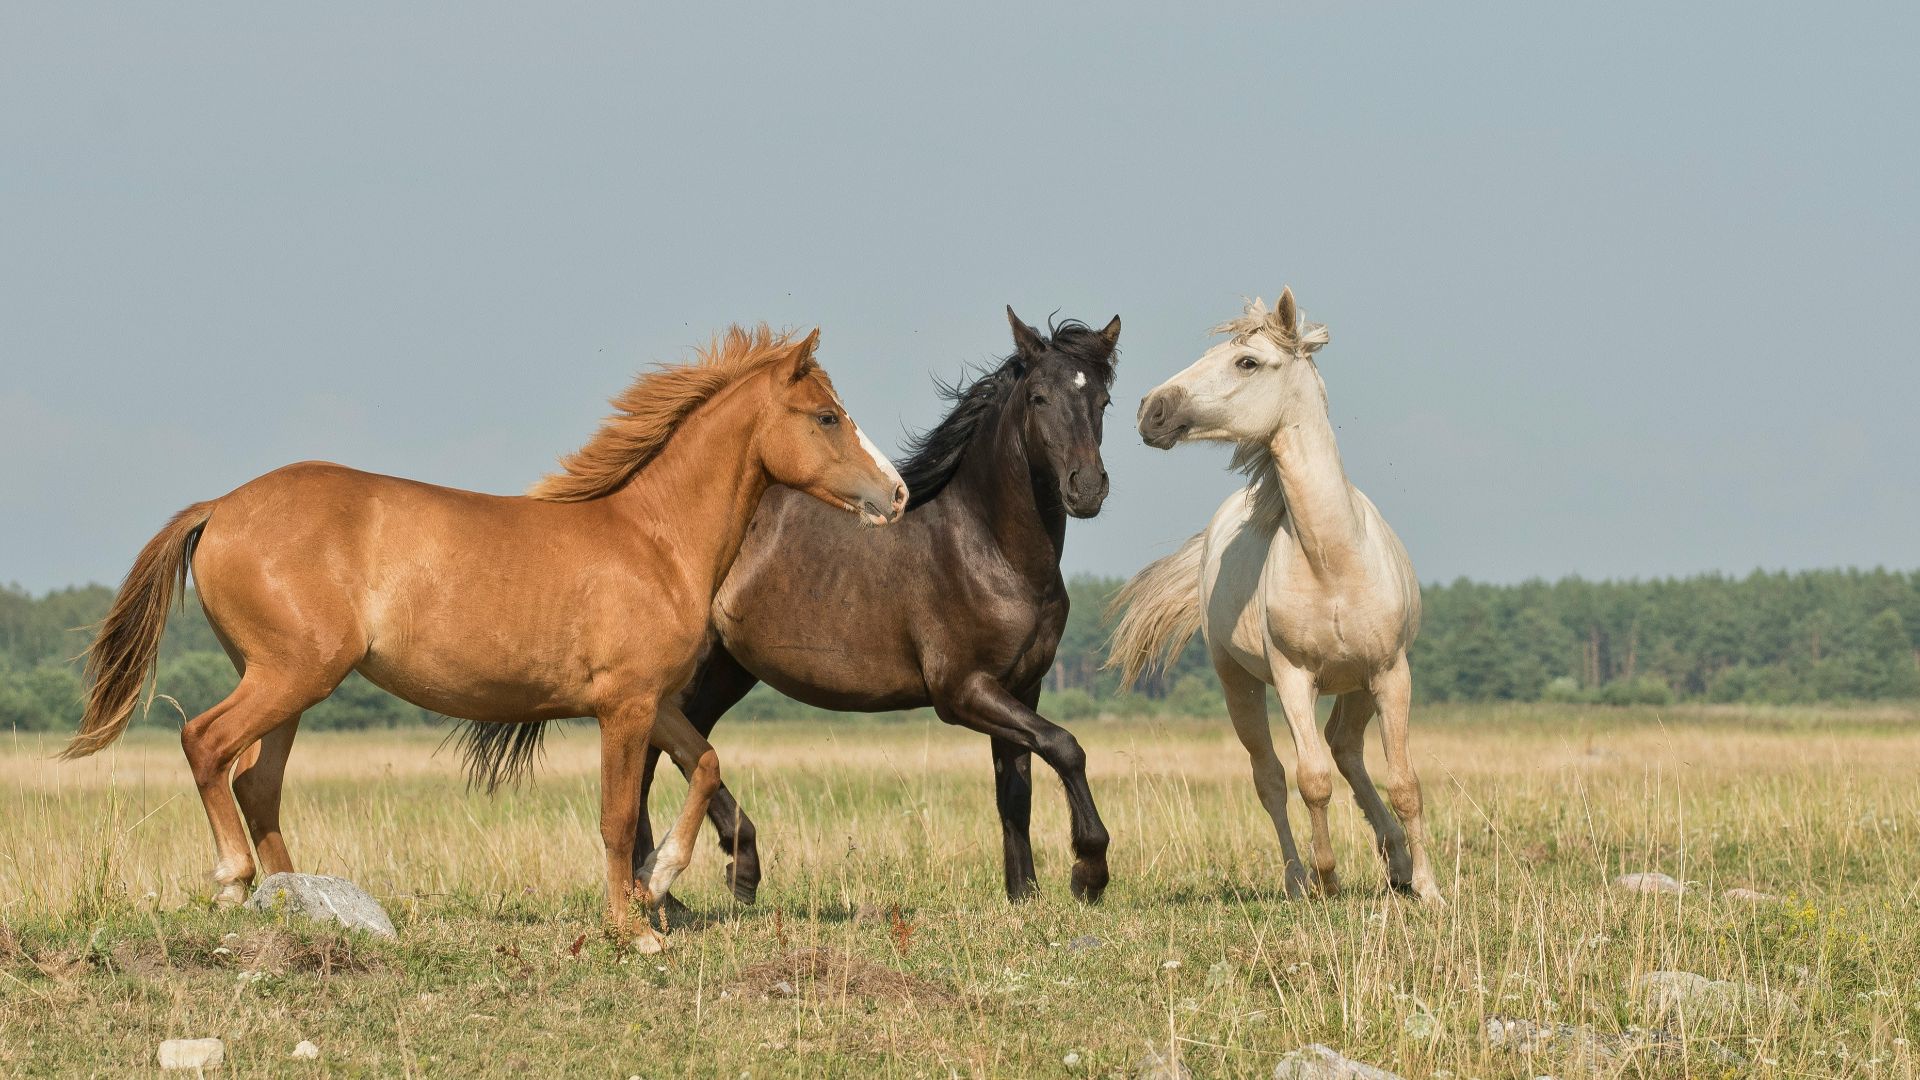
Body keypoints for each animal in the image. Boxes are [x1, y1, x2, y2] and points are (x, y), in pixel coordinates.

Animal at [62, 325, 907, 949]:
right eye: (827, 416)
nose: (896, 494)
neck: (653, 540)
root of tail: (221, 507)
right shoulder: (624, 707)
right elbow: (615, 815)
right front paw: (632, 928)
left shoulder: (655, 702)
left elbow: (704, 765)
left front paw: (660, 881)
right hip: (289, 675)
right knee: (206, 743)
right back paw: (235, 883)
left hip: (289, 685)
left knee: (255, 781)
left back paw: (299, 902)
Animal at [469, 308, 1121, 904]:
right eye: (1038, 397)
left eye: (1104, 399)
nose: (1086, 488)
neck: (986, 547)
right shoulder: (962, 691)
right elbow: (1066, 747)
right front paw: (1088, 872)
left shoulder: (1021, 687)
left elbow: (1017, 789)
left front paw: (1024, 895)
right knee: (654, 761)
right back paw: (693, 882)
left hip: (723, 673)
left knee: (672, 754)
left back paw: (708, 877)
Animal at [1108, 289, 1442, 905]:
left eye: (1247, 362)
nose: (1151, 410)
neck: (1333, 560)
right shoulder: (1292, 678)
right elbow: (1311, 780)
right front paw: (1327, 878)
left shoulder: (1391, 673)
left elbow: (1405, 781)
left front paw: (1429, 889)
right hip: (1238, 683)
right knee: (1272, 777)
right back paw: (1297, 878)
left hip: (1359, 684)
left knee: (1346, 748)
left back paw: (1398, 863)